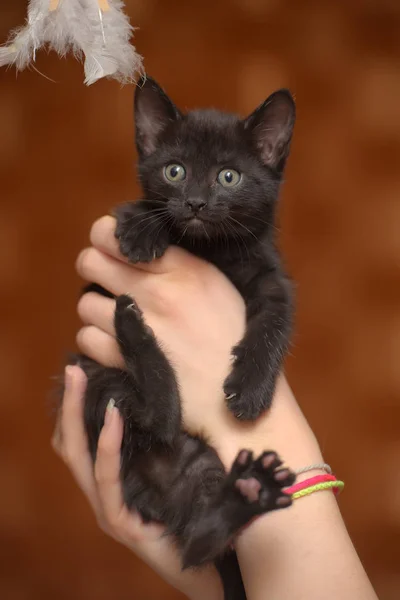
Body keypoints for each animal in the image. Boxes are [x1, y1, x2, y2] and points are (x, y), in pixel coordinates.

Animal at [114, 75, 296, 420]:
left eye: (228, 177)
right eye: (175, 171)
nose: (196, 202)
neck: (211, 247)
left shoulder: (271, 276)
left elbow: (274, 320)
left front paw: (251, 388)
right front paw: (142, 228)